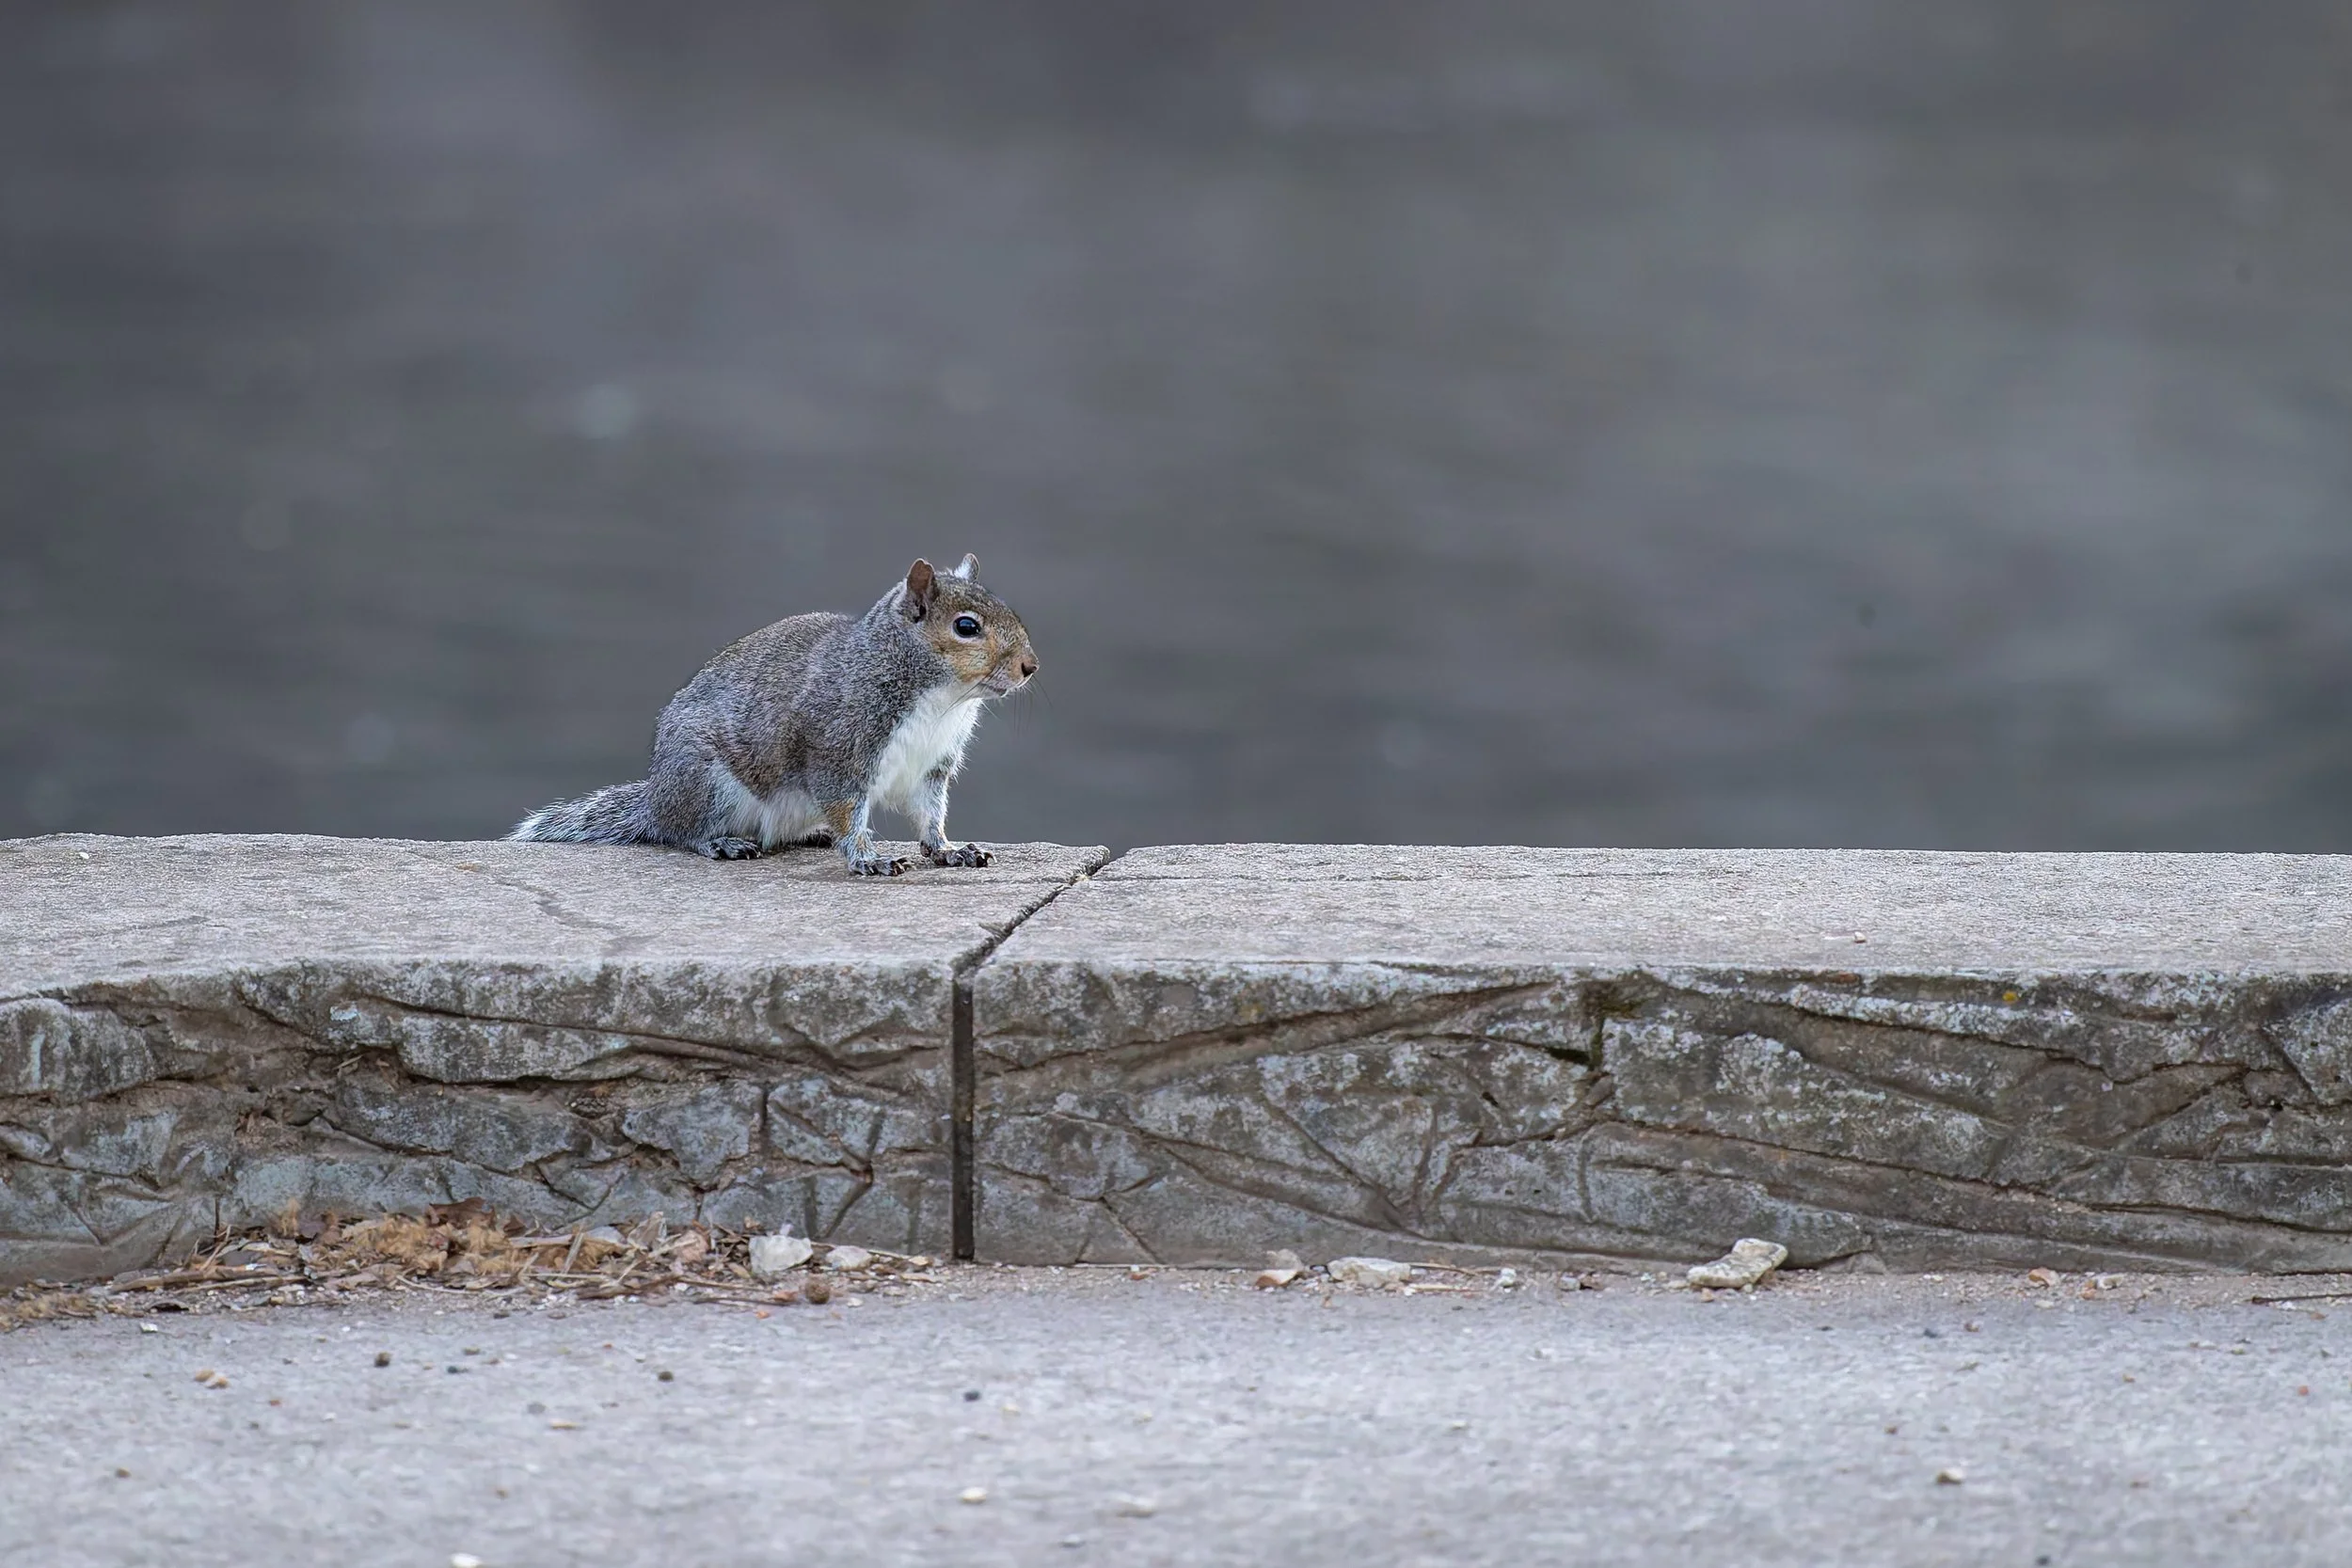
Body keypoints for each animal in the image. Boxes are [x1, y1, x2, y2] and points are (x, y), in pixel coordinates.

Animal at [509, 555, 1036, 876]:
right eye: (966, 627)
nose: (1030, 667)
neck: (942, 701)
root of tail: (656, 798)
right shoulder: (838, 749)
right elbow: (847, 809)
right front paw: (867, 859)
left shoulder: (931, 765)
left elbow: (930, 814)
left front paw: (949, 849)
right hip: (706, 784)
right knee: (679, 832)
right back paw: (720, 843)